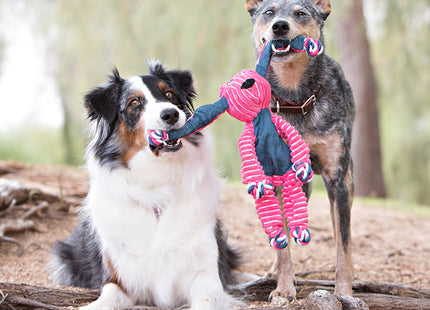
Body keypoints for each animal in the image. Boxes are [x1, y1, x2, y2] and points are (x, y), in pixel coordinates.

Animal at [49, 61, 242, 308]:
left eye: (169, 94)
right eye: (134, 103)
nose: (171, 114)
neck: (158, 181)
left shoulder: (206, 273)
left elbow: (207, 298)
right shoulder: (119, 277)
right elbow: (107, 296)